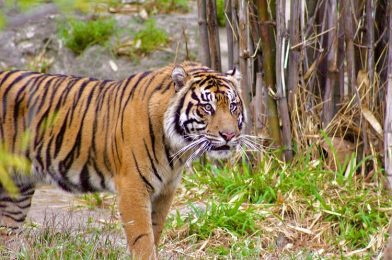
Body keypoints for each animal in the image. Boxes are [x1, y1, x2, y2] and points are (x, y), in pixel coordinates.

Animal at [0, 61, 247, 258]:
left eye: (233, 106)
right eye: (207, 107)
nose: (229, 135)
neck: (177, 146)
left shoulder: (165, 190)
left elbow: (154, 231)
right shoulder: (133, 188)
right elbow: (142, 239)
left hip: (16, 192)